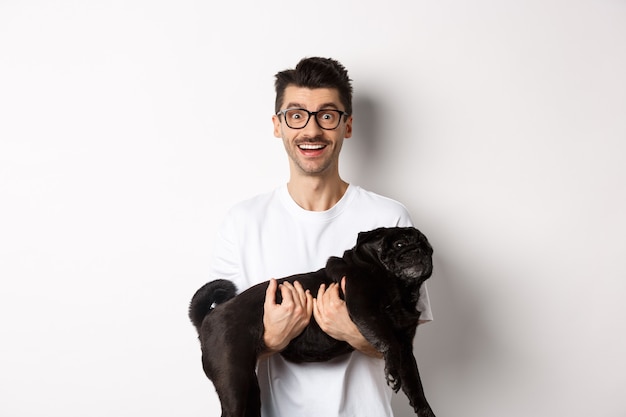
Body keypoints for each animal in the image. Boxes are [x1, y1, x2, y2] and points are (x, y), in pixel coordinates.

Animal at [189, 228, 434, 416]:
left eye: (428, 248)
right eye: (400, 243)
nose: (419, 251)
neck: (398, 288)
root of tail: (208, 317)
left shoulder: (405, 348)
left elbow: (416, 386)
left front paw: (425, 410)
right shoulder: (364, 310)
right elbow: (386, 340)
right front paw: (391, 372)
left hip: (250, 387)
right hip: (234, 384)